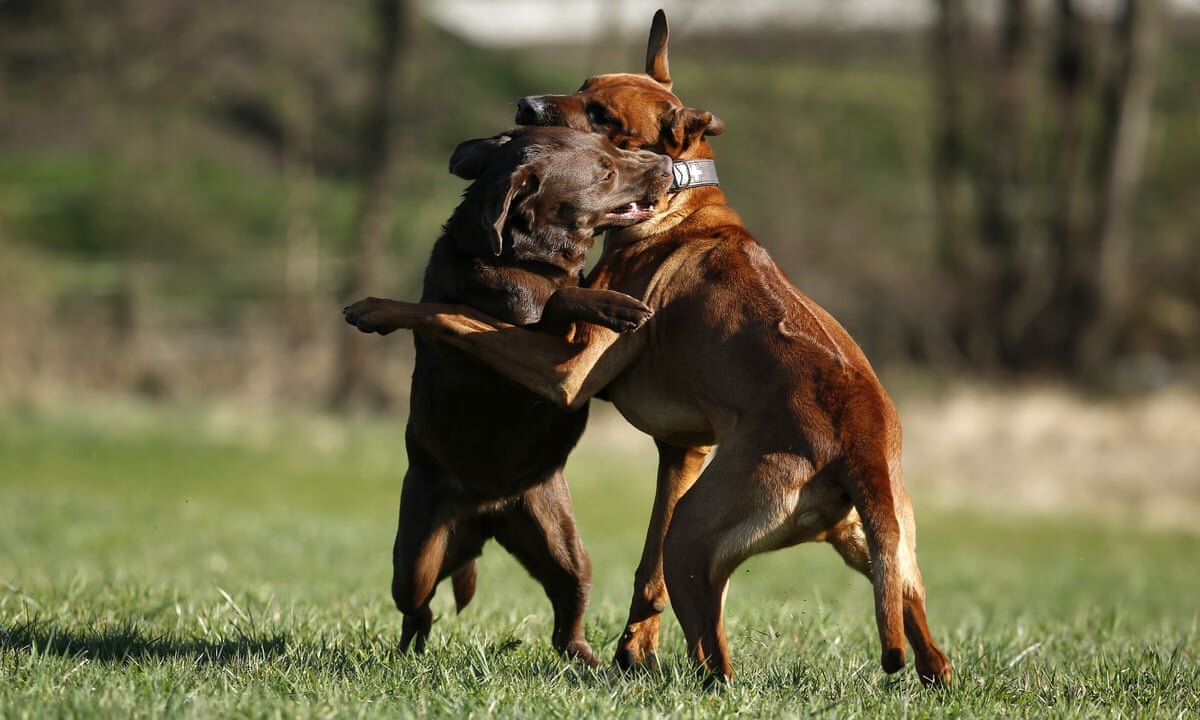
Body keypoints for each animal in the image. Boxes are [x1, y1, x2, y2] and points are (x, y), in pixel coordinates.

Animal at [345, 125, 676, 662]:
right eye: (606, 171)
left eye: (612, 146)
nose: (667, 165)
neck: (523, 261)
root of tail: (487, 514)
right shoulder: (538, 351)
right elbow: (557, 299)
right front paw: (615, 304)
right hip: (415, 558)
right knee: (417, 608)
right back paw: (411, 649)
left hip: (564, 546)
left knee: (568, 611)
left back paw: (583, 658)